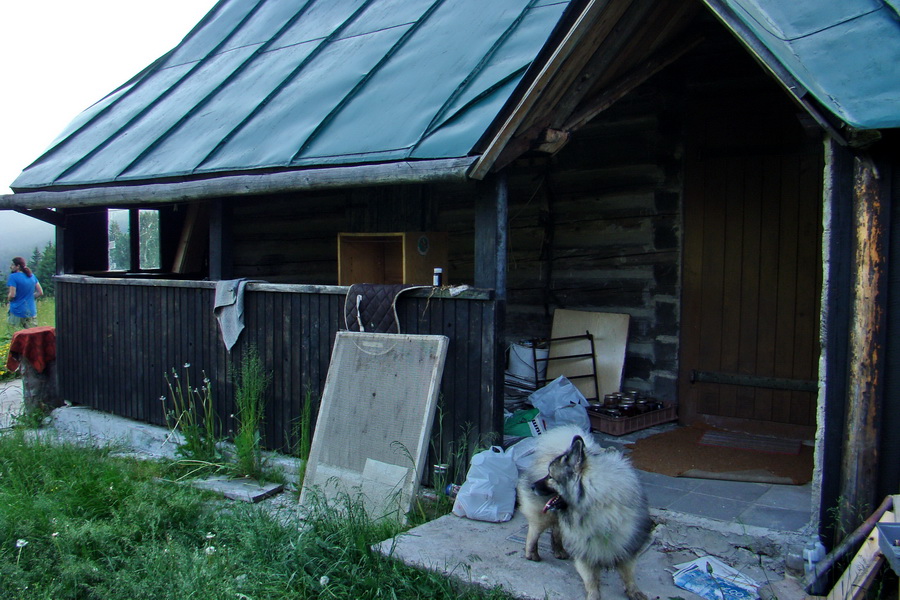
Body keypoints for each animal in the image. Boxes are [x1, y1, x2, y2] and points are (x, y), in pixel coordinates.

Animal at [516, 424, 652, 600]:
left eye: (551, 477)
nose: (533, 486)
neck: (598, 506)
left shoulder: (628, 541)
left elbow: (628, 573)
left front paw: (634, 591)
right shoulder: (584, 548)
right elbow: (591, 579)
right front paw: (593, 595)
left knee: (556, 531)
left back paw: (559, 550)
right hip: (543, 516)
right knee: (534, 531)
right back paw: (531, 553)